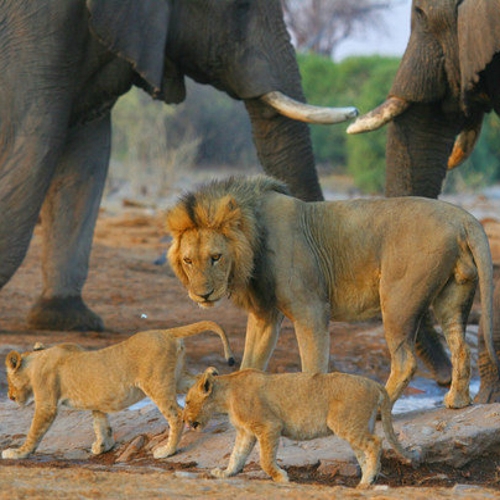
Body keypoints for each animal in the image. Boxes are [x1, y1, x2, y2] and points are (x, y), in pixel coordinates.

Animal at [2, 322, 234, 458]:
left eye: (8, 379)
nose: (10, 396)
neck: (37, 360)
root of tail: (166, 332)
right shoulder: (96, 403)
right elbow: (101, 424)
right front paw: (103, 446)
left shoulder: (47, 404)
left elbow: (34, 431)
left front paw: (17, 453)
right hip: (177, 378)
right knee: (200, 383)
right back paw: (211, 375)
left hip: (156, 384)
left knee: (176, 415)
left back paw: (167, 451)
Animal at [165, 174, 500, 408]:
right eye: (188, 260)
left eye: (216, 257)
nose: (202, 294)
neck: (252, 237)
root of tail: (464, 217)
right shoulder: (265, 315)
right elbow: (250, 362)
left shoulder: (310, 309)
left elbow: (312, 365)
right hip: (452, 295)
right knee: (460, 347)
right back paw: (457, 401)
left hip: (397, 299)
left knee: (405, 361)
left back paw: (382, 405)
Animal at [183, 368, 414, 488]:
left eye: (186, 401)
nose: (185, 420)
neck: (225, 397)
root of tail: (374, 383)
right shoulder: (246, 432)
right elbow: (236, 456)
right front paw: (225, 473)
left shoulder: (269, 425)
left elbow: (265, 460)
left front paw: (281, 477)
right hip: (357, 424)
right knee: (364, 451)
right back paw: (367, 479)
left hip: (345, 423)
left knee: (375, 443)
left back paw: (366, 482)